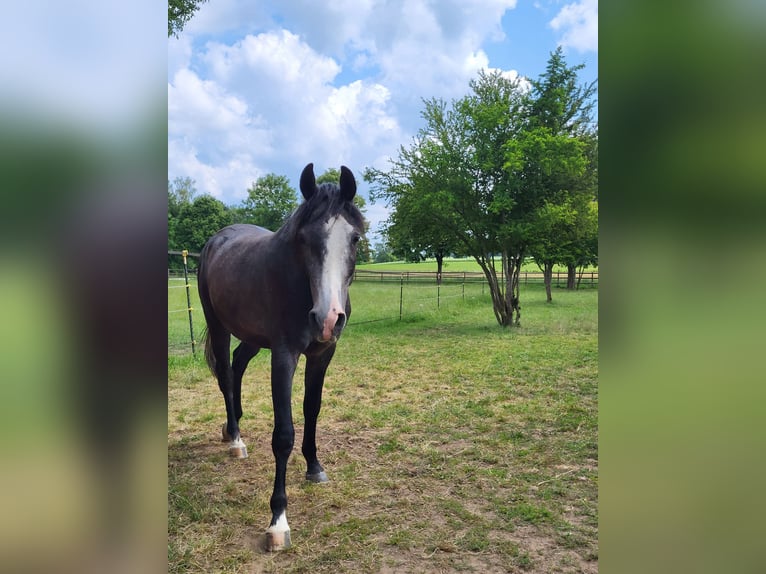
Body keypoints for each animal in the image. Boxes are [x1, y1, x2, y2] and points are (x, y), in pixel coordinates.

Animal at [198, 163, 366, 552]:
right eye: (304, 239)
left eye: (354, 238)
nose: (328, 319)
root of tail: (217, 239)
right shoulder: (284, 356)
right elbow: (283, 434)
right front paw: (277, 520)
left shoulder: (322, 354)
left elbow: (312, 409)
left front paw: (314, 466)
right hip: (219, 326)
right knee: (226, 374)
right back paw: (236, 439)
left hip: (252, 338)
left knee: (238, 363)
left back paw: (233, 426)